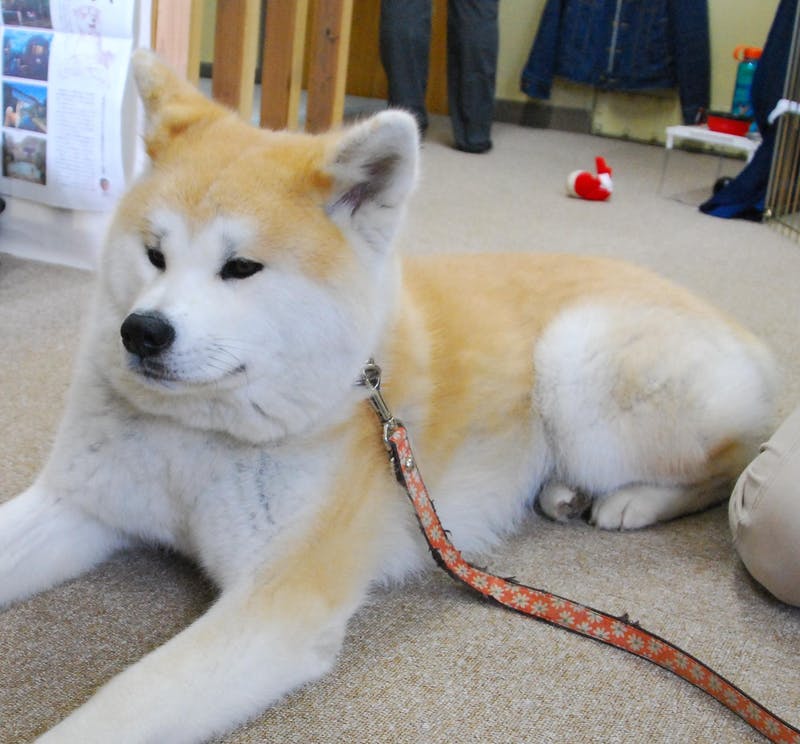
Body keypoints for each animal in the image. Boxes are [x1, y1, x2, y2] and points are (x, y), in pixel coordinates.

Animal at [0, 49, 776, 740]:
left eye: (240, 267)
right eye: (154, 254)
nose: (143, 331)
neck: (194, 437)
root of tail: (740, 328)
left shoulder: (280, 603)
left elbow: (119, 707)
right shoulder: (80, 503)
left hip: (577, 365)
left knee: (736, 464)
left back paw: (634, 500)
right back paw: (560, 491)